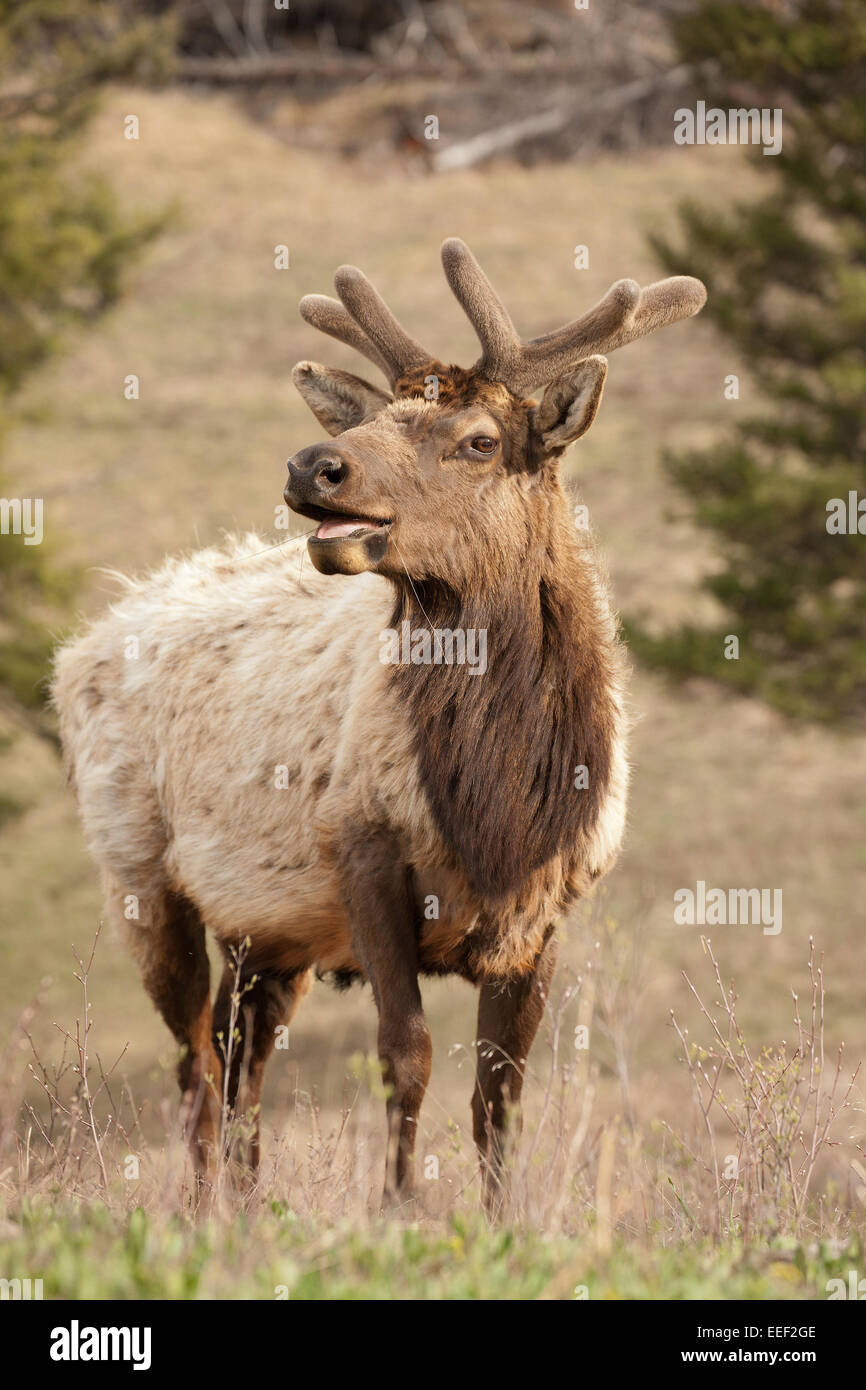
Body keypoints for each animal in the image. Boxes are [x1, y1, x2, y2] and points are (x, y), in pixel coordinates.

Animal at [53, 239, 706, 1208]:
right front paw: (399, 1210)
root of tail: (82, 642)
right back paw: (203, 1217)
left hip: (266, 931)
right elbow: (408, 1056)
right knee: (196, 1068)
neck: (502, 809)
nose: (311, 466)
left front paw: (501, 1220)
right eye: (382, 415)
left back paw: (248, 1217)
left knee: (242, 1066)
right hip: (141, 874)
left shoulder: (549, 906)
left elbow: (501, 1091)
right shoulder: (361, 846)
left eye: (479, 440)